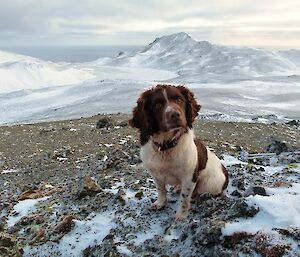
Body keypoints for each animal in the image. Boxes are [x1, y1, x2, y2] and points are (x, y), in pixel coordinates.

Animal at [127, 84, 229, 220]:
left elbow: (184, 198)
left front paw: (181, 215)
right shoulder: (155, 173)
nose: (175, 115)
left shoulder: (189, 177)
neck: (166, 146)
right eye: (157, 104)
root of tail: (225, 174)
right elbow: (161, 190)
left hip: (210, 183)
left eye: (179, 99)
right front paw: (160, 203)